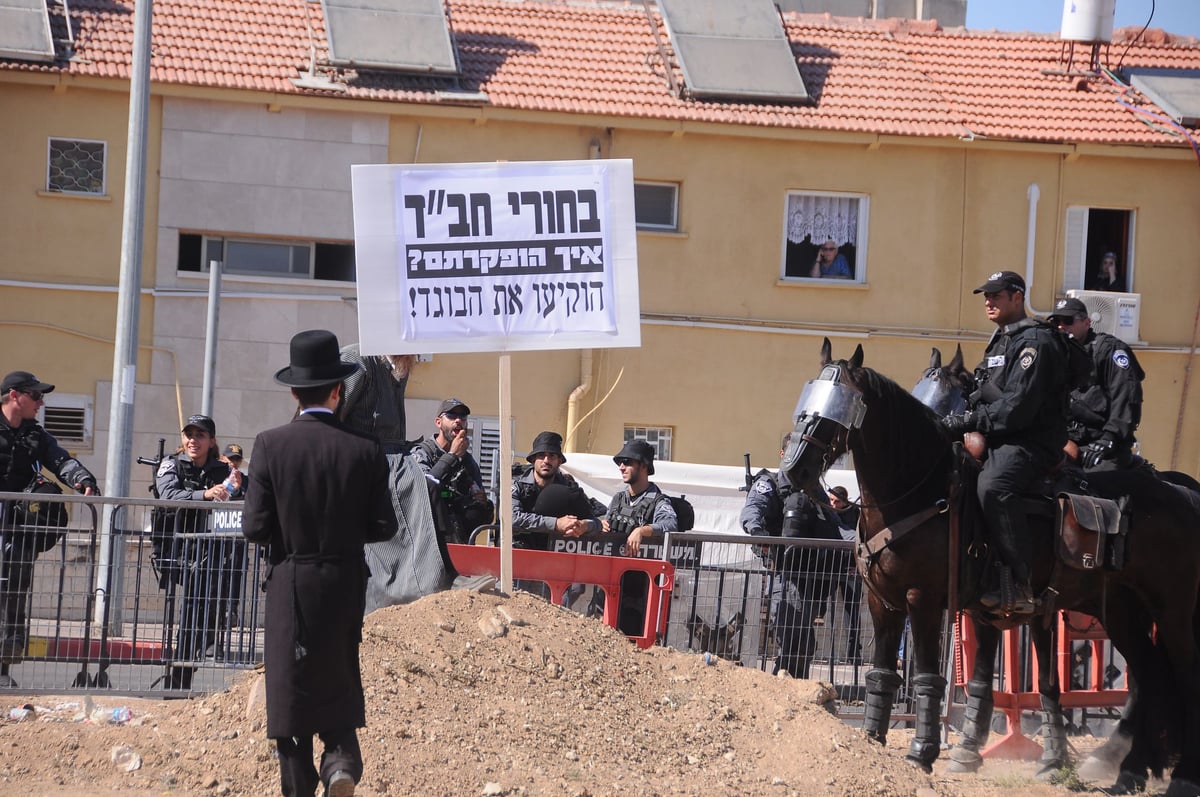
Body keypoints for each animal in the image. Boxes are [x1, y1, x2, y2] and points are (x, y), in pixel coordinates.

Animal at [782, 338, 1200, 792]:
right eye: (808, 400)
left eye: (837, 406)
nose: (794, 468)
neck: (921, 491)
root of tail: (1182, 495)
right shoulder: (886, 603)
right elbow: (883, 675)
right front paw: (875, 743)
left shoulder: (925, 600)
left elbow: (929, 677)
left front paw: (923, 752)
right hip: (1122, 612)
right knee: (1152, 676)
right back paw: (1130, 769)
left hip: (1173, 611)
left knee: (1179, 674)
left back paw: (1179, 776)